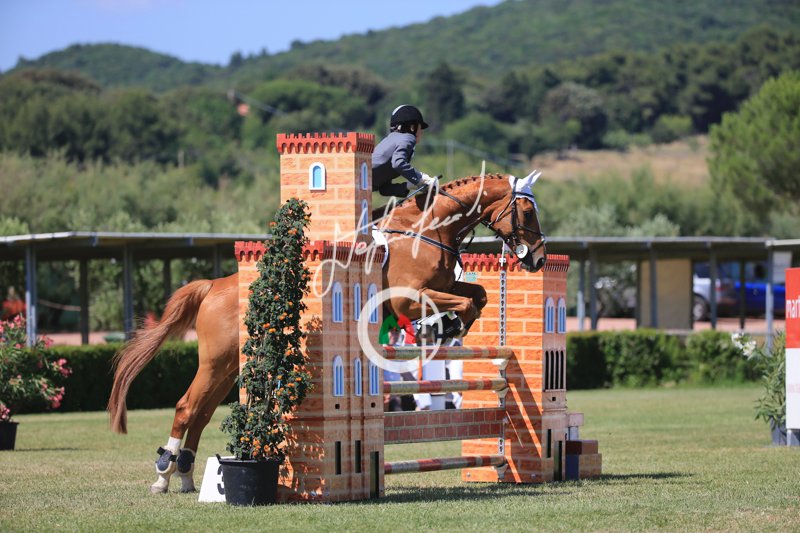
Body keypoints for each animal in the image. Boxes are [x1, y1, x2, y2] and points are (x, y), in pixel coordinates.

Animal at [106, 171, 547, 494]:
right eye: (526, 213)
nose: (539, 259)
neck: (427, 229)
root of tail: (213, 286)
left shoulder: (444, 285)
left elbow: (479, 295)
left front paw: (449, 326)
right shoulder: (409, 299)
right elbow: (463, 303)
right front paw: (441, 327)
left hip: (230, 365)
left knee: (200, 411)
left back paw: (182, 477)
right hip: (216, 361)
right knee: (186, 407)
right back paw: (163, 476)